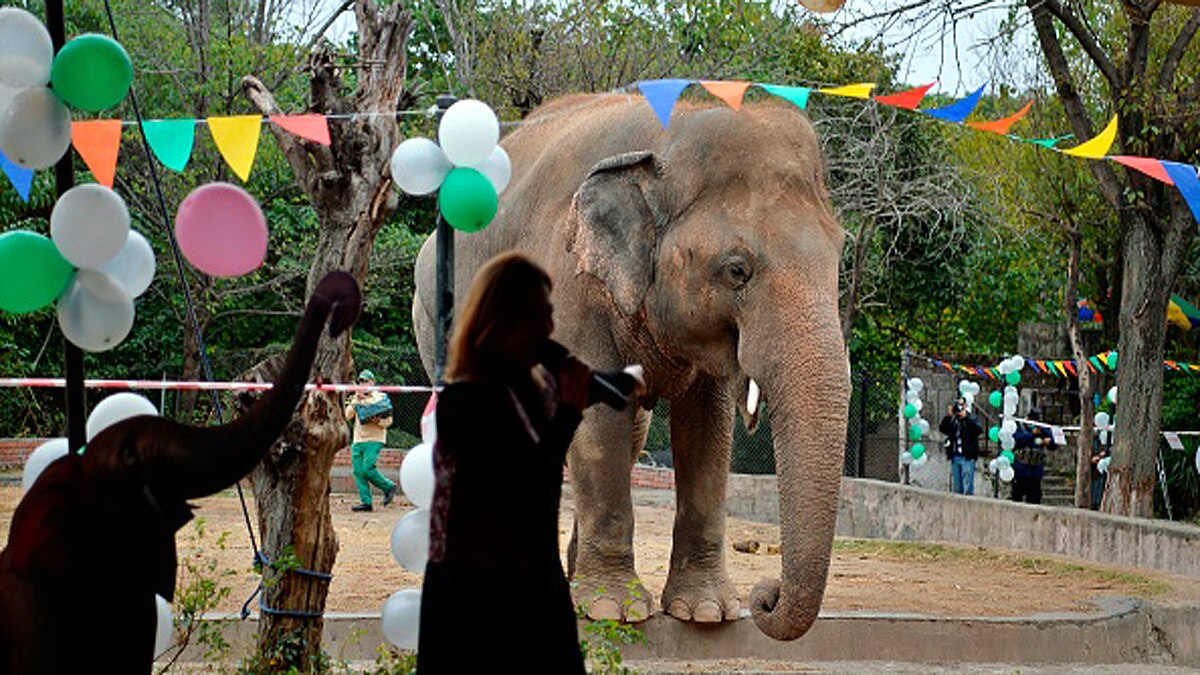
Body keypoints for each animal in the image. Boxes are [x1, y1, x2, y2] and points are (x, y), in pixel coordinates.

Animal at [413, 94, 850, 641]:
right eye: (737, 270)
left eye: (839, 256)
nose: (765, 596)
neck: (670, 132)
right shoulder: (570, 285)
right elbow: (600, 421)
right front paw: (612, 611)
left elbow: (707, 429)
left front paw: (706, 612)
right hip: (435, 320)